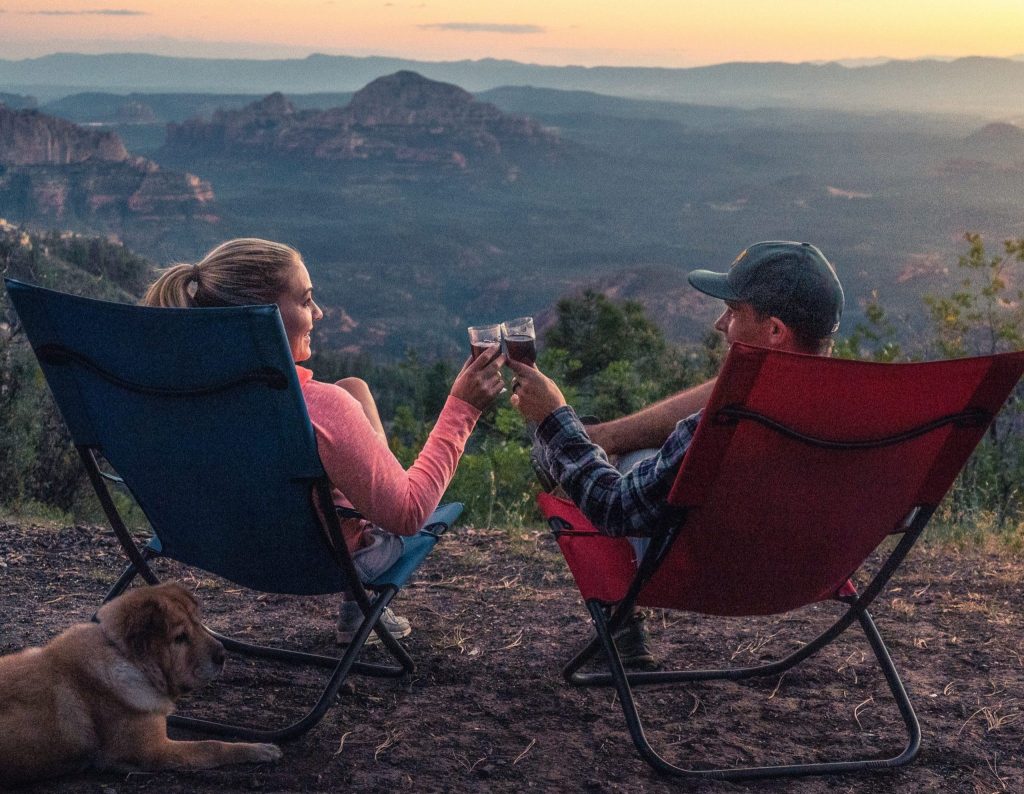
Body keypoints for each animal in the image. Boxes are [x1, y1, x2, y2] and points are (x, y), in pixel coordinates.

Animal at [0, 581, 282, 786]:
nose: (222, 655)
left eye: (199, 624)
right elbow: (212, 746)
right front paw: (260, 749)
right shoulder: (153, 751)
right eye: (180, 638)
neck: (125, 657)